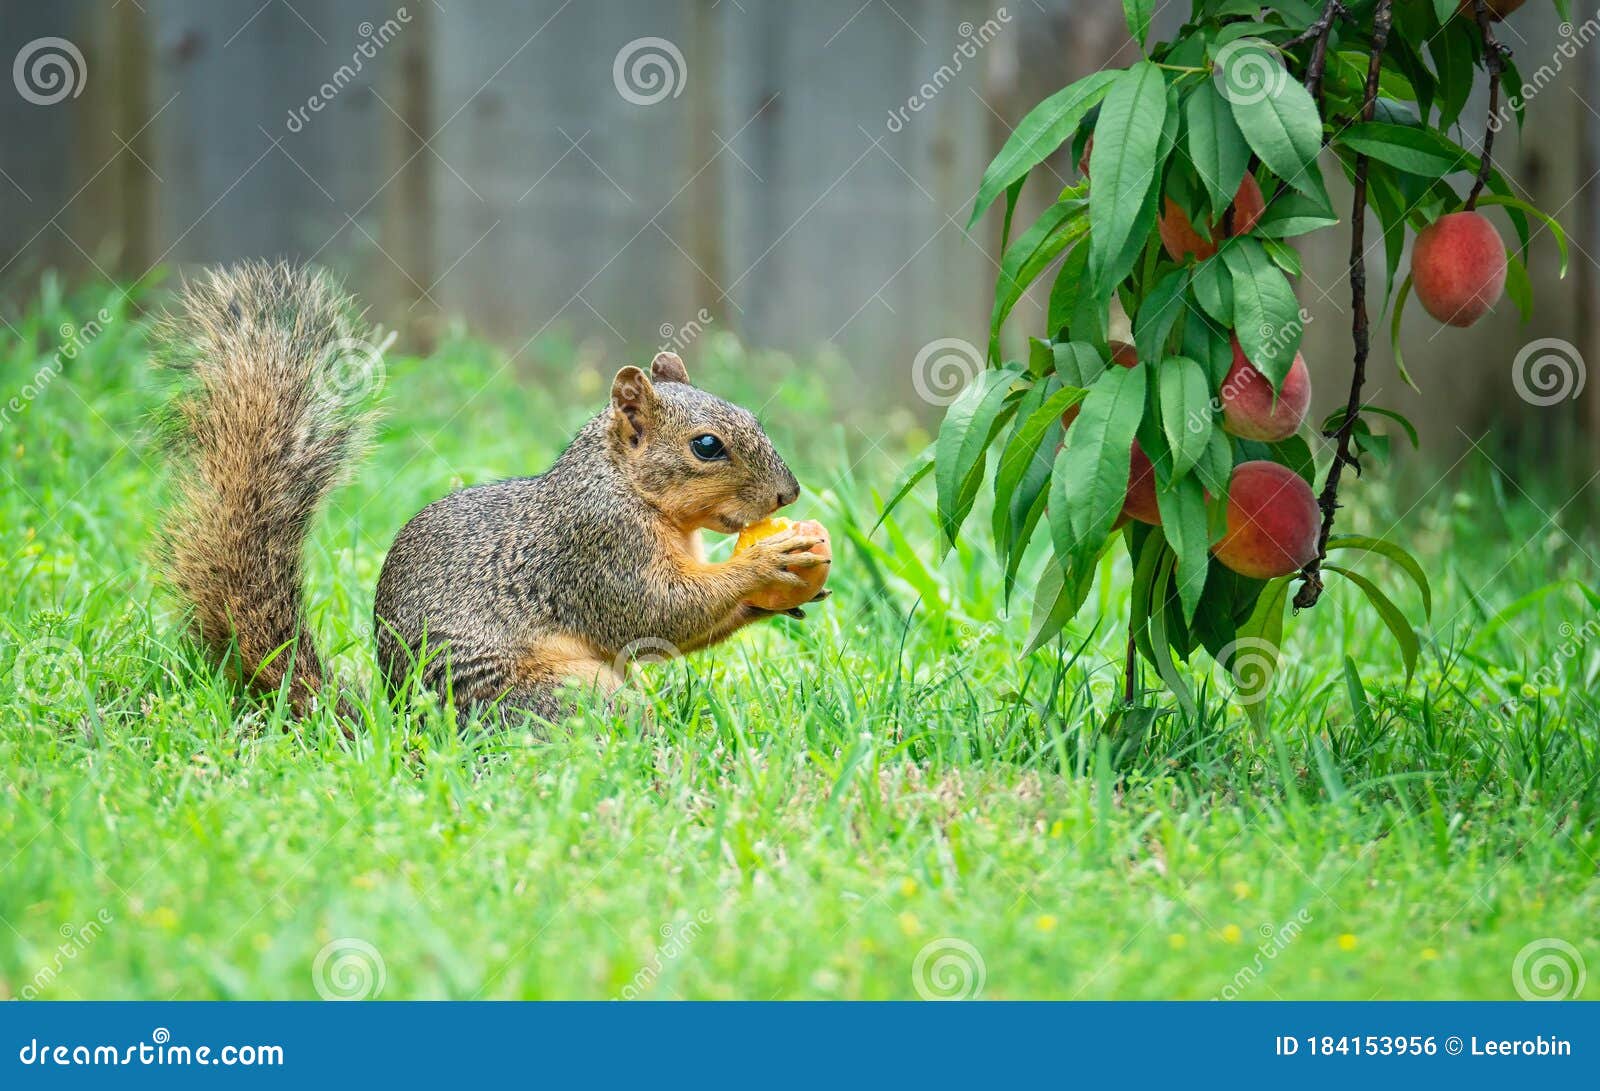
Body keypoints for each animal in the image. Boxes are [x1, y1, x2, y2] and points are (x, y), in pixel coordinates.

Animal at [154, 262, 828, 723]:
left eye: (753, 416)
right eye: (706, 446)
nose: (789, 495)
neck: (627, 487)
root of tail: (408, 728)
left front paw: (780, 598)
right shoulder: (597, 548)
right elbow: (656, 612)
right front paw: (767, 562)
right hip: (560, 694)